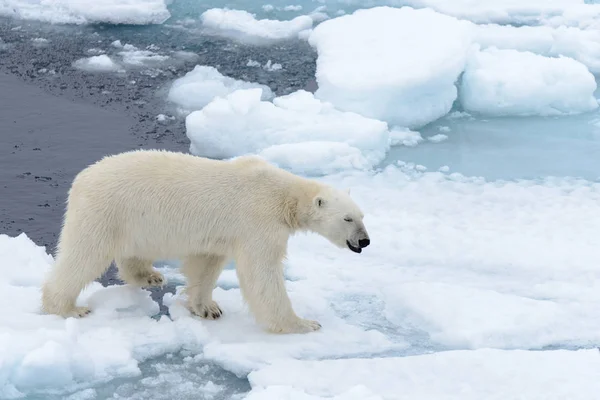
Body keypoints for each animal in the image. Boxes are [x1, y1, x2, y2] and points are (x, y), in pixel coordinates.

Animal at [39, 148, 368, 332]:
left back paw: (150, 276)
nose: (364, 241)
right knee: (85, 254)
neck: (284, 195)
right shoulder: (258, 221)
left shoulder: (222, 232)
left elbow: (206, 264)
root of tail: (81, 178)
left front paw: (207, 308)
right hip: (104, 210)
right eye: (347, 219)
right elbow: (262, 273)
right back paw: (67, 307)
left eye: (362, 215)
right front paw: (303, 324)